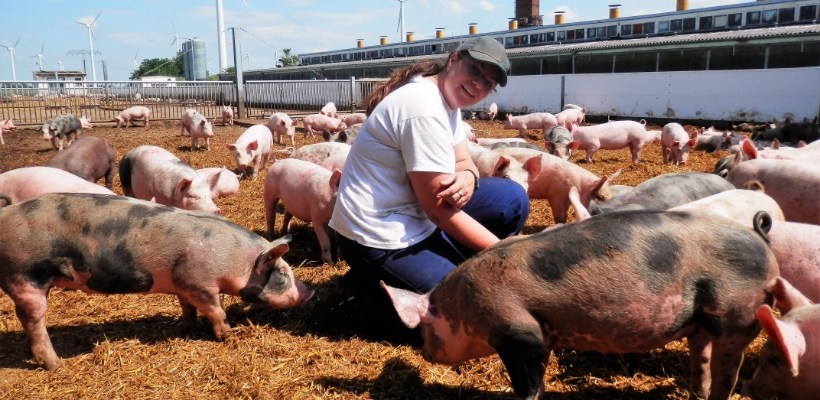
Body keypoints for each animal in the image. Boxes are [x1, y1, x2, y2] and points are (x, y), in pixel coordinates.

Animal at [0, 192, 314, 370]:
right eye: (282, 273)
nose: (309, 293)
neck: (236, 259)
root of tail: (6, 213)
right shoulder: (199, 282)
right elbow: (215, 309)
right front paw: (228, 334)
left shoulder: (182, 281)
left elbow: (187, 307)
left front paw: (187, 329)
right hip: (26, 276)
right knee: (33, 318)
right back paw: (56, 364)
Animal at [382, 209, 780, 400]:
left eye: (425, 329)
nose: (424, 352)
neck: (463, 305)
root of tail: (759, 235)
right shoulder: (542, 336)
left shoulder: (516, 331)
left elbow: (527, 385)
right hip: (700, 322)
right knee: (702, 359)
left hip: (738, 313)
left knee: (728, 370)